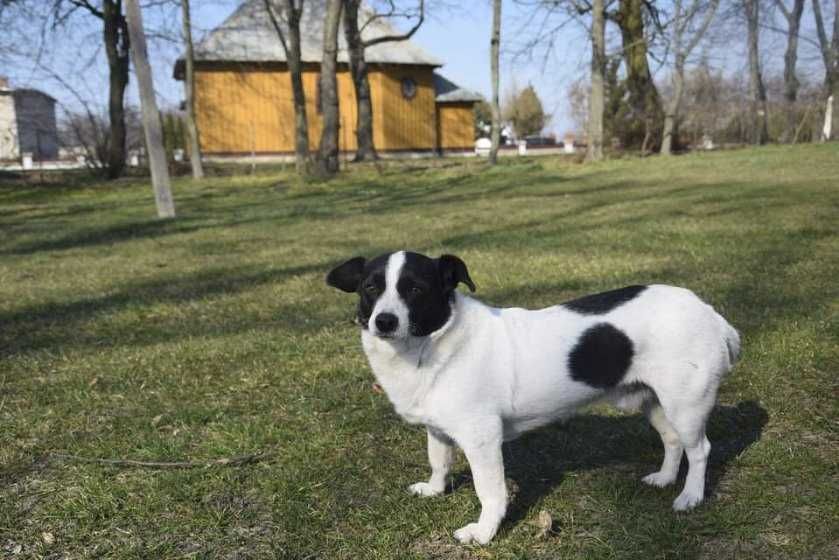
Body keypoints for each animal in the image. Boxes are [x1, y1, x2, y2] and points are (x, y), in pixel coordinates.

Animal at [326, 252, 740, 544]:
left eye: (415, 289)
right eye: (370, 289)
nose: (384, 321)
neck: (432, 345)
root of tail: (711, 314)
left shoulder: (481, 439)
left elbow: (490, 492)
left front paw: (484, 533)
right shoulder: (438, 430)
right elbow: (439, 461)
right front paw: (435, 489)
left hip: (686, 406)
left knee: (699, 449)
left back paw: (691, 496)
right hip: (653, 401)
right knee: (672, 440)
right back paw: (666, 478)